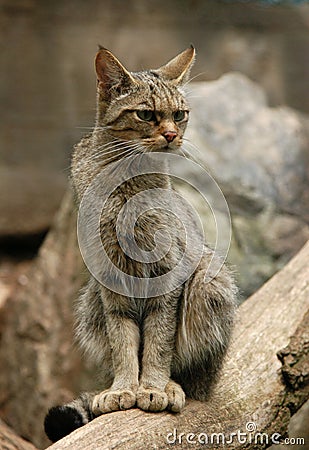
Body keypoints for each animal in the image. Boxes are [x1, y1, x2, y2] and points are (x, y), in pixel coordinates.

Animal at [44, 46, 236, 442]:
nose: (172, 135)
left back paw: (175, 387)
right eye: (146, 114)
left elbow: (159, 342)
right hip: (90, 302)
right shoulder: (110, 283)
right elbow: (123, 343)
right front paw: (123, 388)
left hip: (208, 281)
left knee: (196, 380)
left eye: (179, 114)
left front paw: (153, 386)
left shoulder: (167, 276)